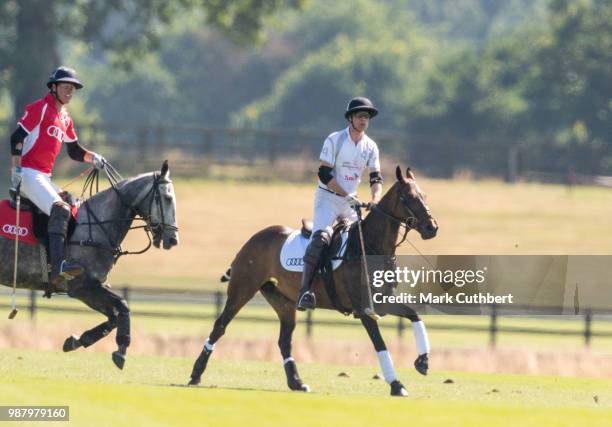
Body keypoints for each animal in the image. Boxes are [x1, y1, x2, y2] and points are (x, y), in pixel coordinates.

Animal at [1, 160, 179, 368]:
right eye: (167, 198)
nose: (173, 239)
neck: (98, 227)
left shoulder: (94, 287)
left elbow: (114, 316)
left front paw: (76, 340)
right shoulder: (82, 287)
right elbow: (123, 305)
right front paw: (121, 349)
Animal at [189, 167, 438, 398]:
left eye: (425, 195)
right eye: (408, 197)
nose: (432, 228)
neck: (370, 247)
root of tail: (255, 237)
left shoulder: (383, 302)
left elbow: (415, 315)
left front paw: (423, 361)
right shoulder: (364, 310)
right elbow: (380, 345)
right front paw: (396, 384)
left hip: (284, 302)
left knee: (284, 340)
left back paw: (297, 382)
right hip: (242, 288)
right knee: (220, 326)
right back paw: (196, 374)